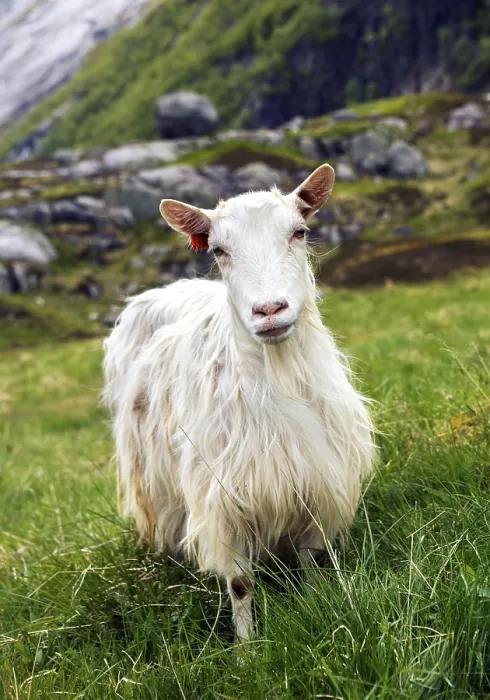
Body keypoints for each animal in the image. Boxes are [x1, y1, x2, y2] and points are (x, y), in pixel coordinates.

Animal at [103, 164, 375, 641]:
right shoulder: (223, 502)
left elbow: (312, 563)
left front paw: (319, 604)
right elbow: (240, 583)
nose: (269, 310)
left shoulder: (316, 483)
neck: (277, 375)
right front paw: (246, 648)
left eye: (299, 231)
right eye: (218, 249)